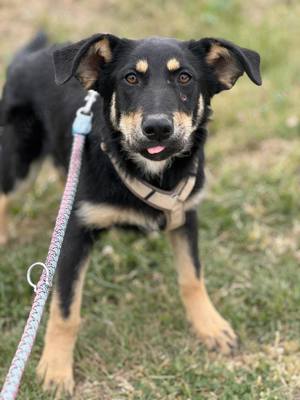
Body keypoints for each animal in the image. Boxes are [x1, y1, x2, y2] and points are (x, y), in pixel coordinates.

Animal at [0, 32, 262, 396]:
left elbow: (192, 277)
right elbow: (65, 310)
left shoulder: (186, 215)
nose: (158, 128)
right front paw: (55, 368)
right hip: (19, 160)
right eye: (130, 78)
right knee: (5, 193)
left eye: (185, 78)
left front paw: (210, 326)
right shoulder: (74, 234)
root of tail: (26, 58)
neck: (146, 170)